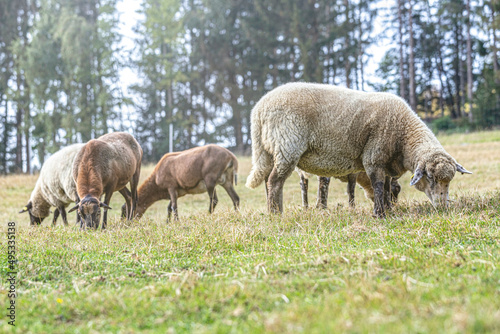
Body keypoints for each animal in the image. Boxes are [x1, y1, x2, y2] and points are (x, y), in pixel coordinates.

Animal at [247, 82, 472, 218]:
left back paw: (274, 210)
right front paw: (379, 214)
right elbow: (378, 185)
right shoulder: (374, 156)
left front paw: (388, 209)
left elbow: (386, 187)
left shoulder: (385, 161)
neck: (404, 136)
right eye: (431, 178)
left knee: (268, 181)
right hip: (287, 146)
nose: (443, 207)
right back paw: (276, 214)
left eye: (449, 180)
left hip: (271, 150)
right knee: (275, 181)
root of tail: (258, 109)